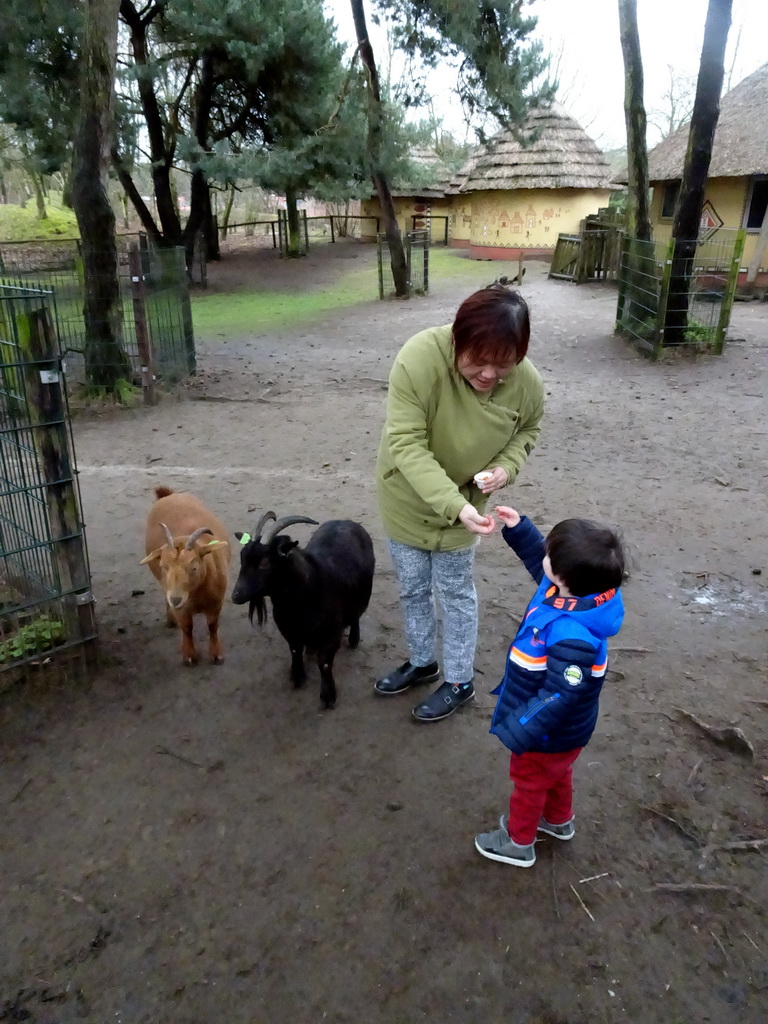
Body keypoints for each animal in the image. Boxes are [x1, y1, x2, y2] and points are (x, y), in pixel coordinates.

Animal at [140, 485, 231, 663]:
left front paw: (216, 653)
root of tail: (169, 495)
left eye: (194, 567)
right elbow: (187, 628)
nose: (176, 599)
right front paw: (189, 655)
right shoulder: (181, 607)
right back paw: (170, 620)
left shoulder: (217, 602)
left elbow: (212, 625)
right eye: (163, 566)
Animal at [233, 516, 376, 708]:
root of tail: (346, 521)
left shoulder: (331, 633)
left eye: (264, 563)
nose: (236, 595)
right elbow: (295, 651)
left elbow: (324, 664)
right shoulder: (289, 630)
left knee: (356, 615)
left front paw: (328, 697)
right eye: (242, 558)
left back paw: (354, 639)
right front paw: (297, 677)